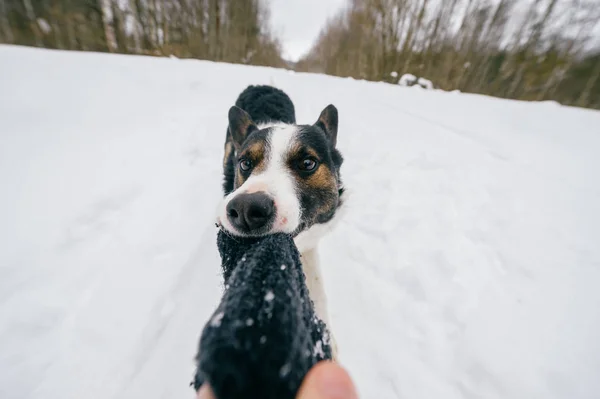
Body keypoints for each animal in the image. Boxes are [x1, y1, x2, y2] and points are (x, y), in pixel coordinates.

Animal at [217, 85, 346, 360]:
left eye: (307, 163)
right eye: (245, 163)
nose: (245, 209)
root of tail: (262, 85)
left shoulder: (310, 243)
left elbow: (317, 287)